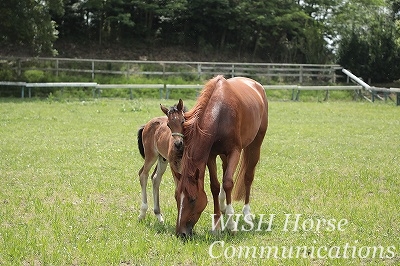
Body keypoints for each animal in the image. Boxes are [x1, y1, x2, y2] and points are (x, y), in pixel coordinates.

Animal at [176, 75, 268, 237]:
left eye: (192, 199)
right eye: (176, 198)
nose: (181, 233)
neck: (220, 114)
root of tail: (256, 85)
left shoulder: (234, 152)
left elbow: (228, 183)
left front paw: (231, 226)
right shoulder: (211, 155)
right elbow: (215, 185)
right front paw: (217, 225)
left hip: (255, 145)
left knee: (248, 177)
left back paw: (247, 214)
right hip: (224, 156)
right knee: (225, 170)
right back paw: (223, 204)